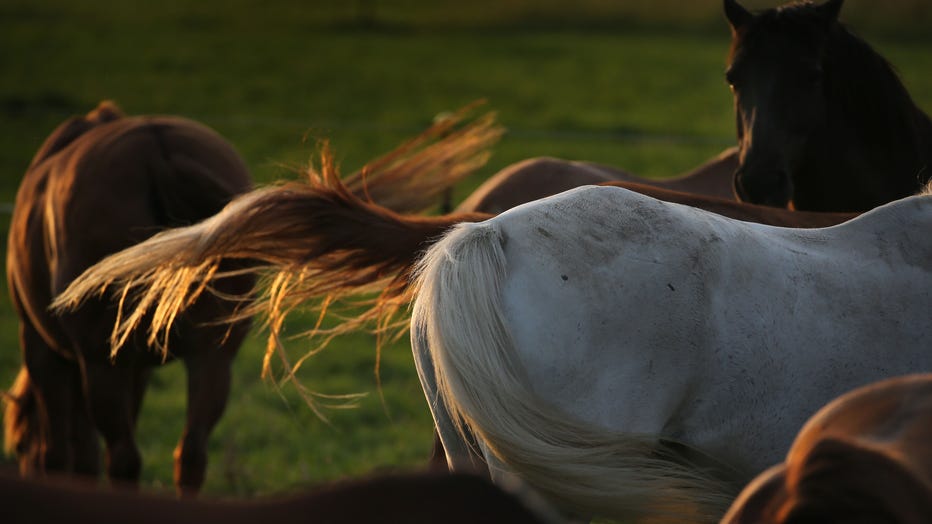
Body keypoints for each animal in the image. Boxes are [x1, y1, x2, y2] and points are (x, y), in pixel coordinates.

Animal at [2, 101, 255, 496]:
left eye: (20, 446)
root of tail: (157, 153)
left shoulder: (44, 350)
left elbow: (61, 454)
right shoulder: (139, 367)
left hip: (102, 363)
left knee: (123, 458)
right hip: (213, 357)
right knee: (191, 454)